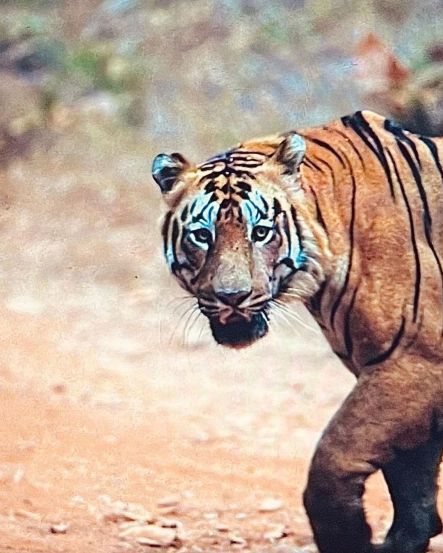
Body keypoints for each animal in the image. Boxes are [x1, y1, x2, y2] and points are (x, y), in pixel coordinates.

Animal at [152, 111, 443, 552]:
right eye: (202, 235)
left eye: (261, 232)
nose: (231, 296)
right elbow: (411, 481)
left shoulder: (414, 364)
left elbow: (334, 456)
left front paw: (349, 537)